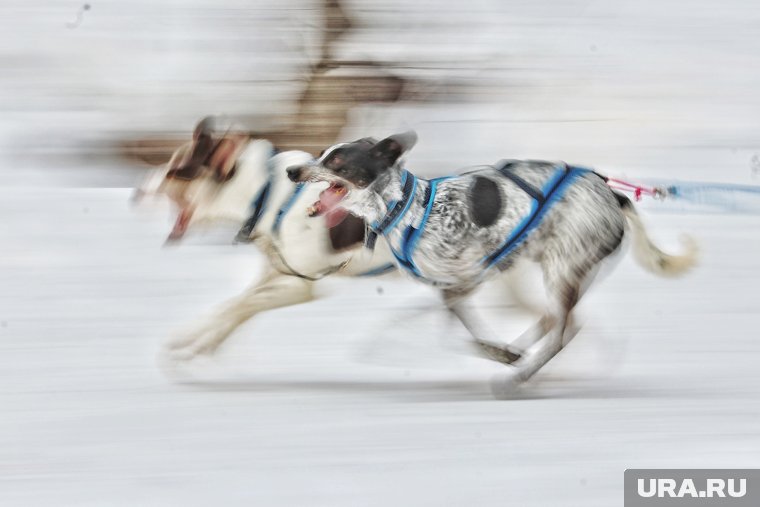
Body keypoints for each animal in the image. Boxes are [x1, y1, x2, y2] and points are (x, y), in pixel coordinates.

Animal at [286, 133, 700, 386]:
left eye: (337, 159)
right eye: (322, 153)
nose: (292, 169)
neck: (408, 207)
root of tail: (613, 194)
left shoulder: (467, 280)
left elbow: (461, 340)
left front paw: (503, 354)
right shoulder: (452, 289)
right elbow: (452, 334)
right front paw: (505, 350)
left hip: (562, 269)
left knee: (563, 331)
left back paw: (522, 374)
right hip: (556, 267)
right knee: (555, 319)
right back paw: (524, 349)